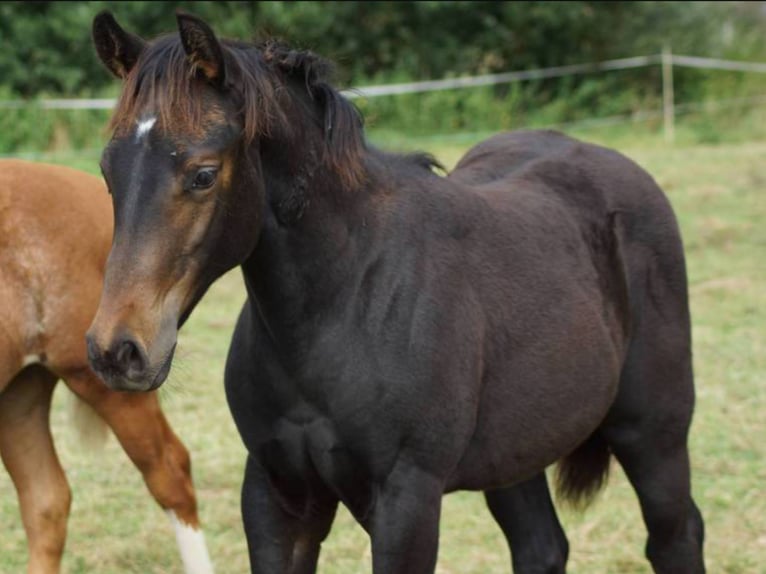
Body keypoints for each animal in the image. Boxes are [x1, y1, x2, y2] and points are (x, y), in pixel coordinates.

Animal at [86, 11, 705, 574]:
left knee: (676, 535)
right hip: (517, 449)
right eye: (108, 170)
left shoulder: (405, 502)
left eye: (203, 174)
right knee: (542, 547)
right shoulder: (276, 492)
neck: (347, 300)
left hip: (653, 435)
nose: (118, 350)